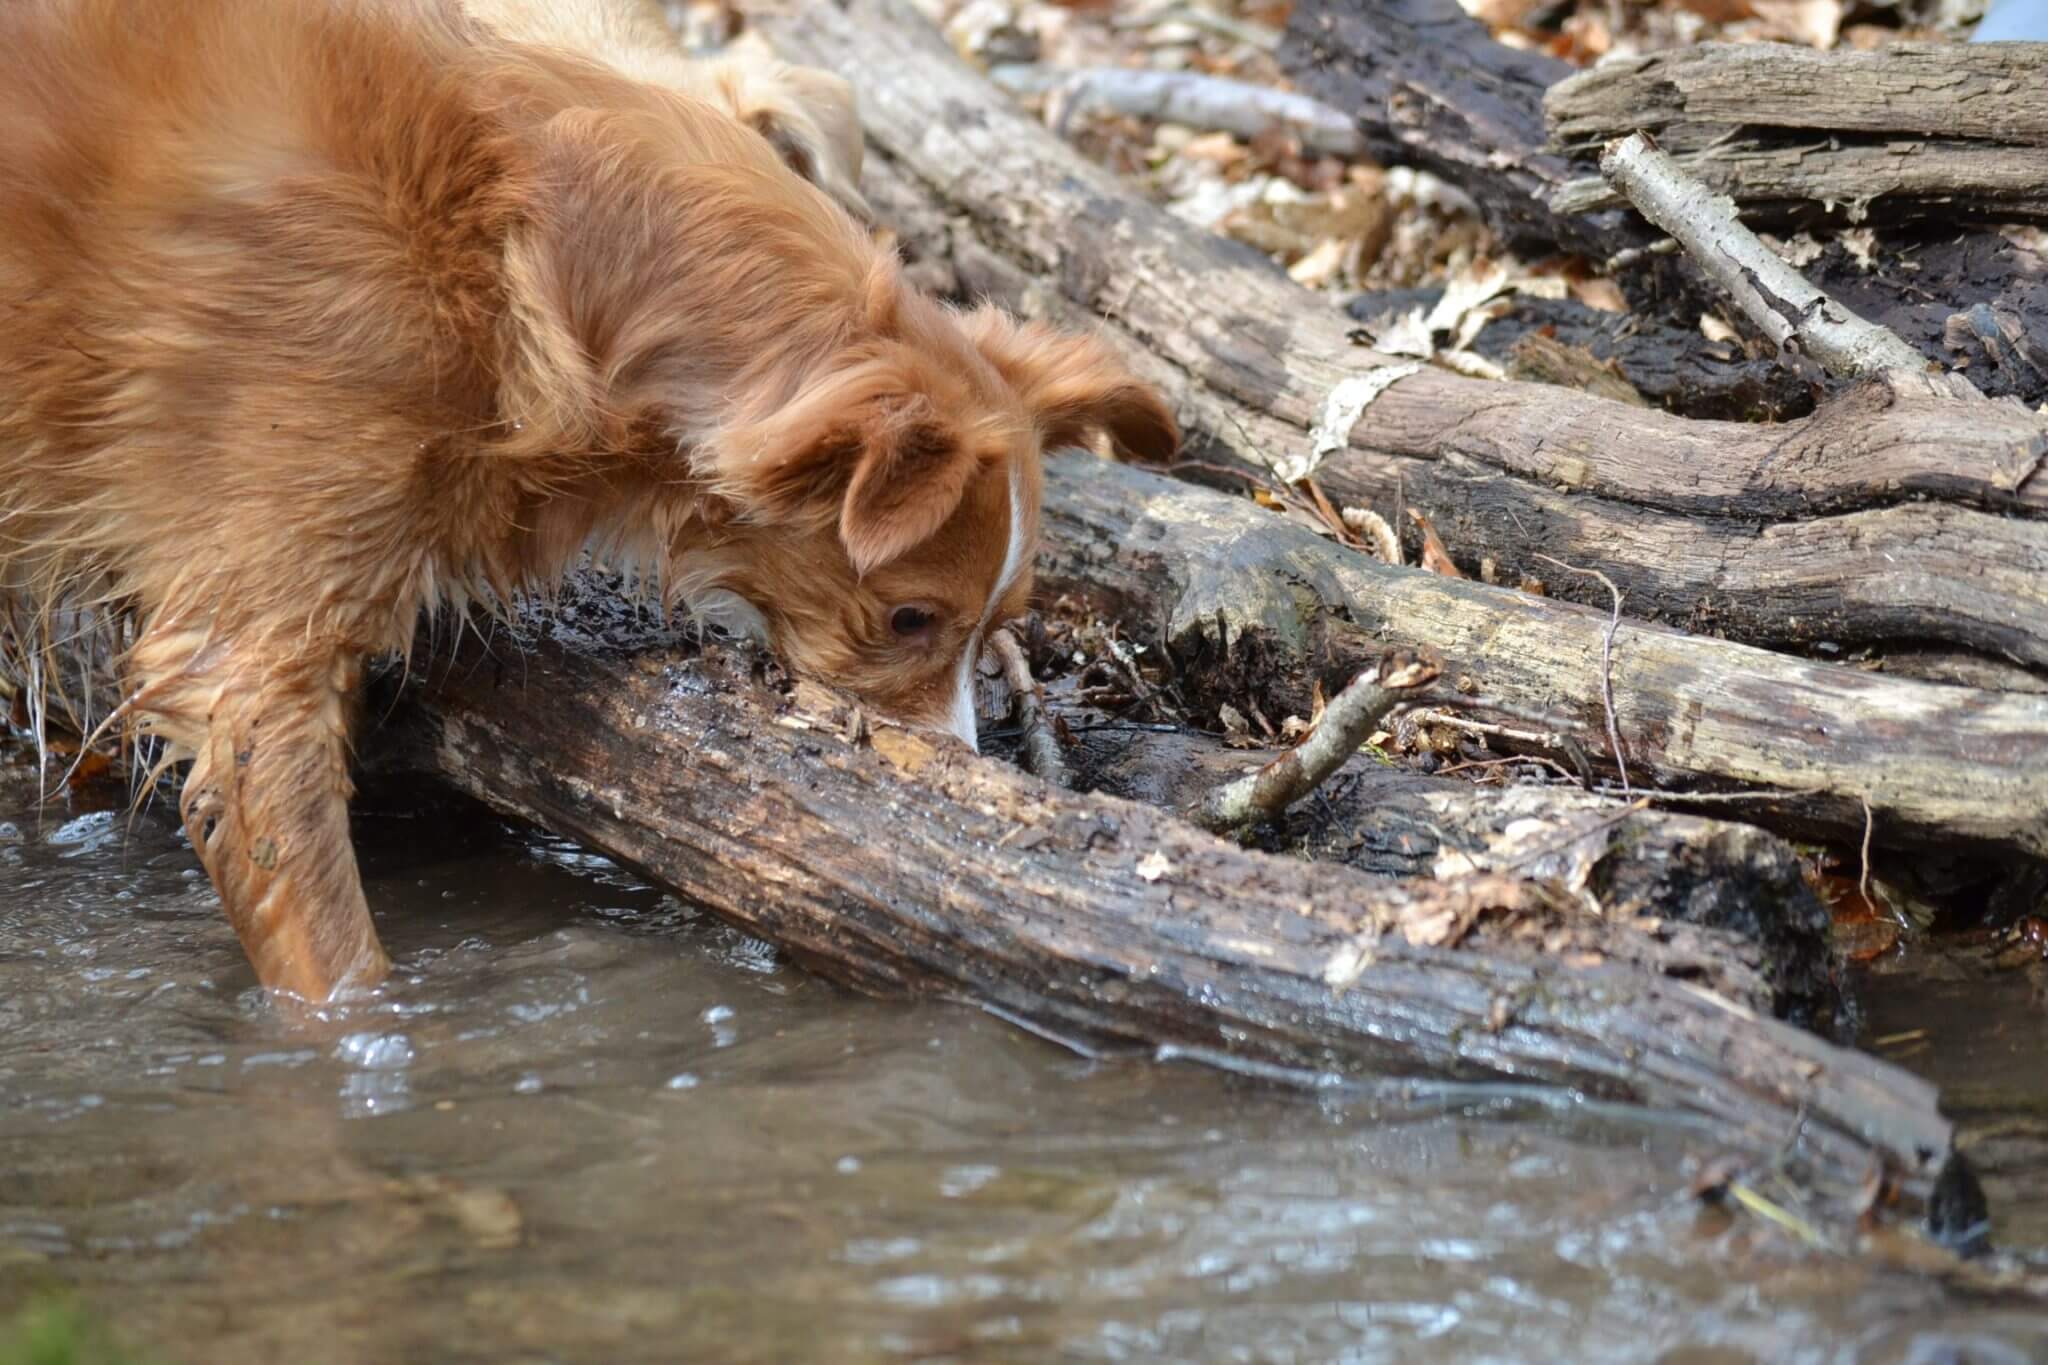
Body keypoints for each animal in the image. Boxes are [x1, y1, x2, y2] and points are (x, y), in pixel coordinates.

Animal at [0, 0, 1179, 1002]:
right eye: (909, 617)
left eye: (998, 624)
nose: (961, 776)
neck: (517, 244)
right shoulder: (249, 676)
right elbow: (335, 965)